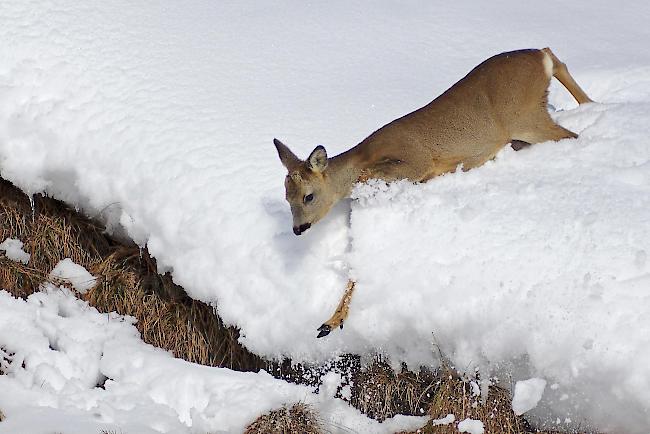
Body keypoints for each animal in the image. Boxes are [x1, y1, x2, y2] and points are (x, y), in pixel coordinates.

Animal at [272, 48, 592, 340]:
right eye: (287, 198)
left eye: (308, 196)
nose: (298, 228)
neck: (362, 157)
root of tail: (537, 57)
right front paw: (331, 321)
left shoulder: (417, 160)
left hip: (523, 118)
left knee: (571, 133)